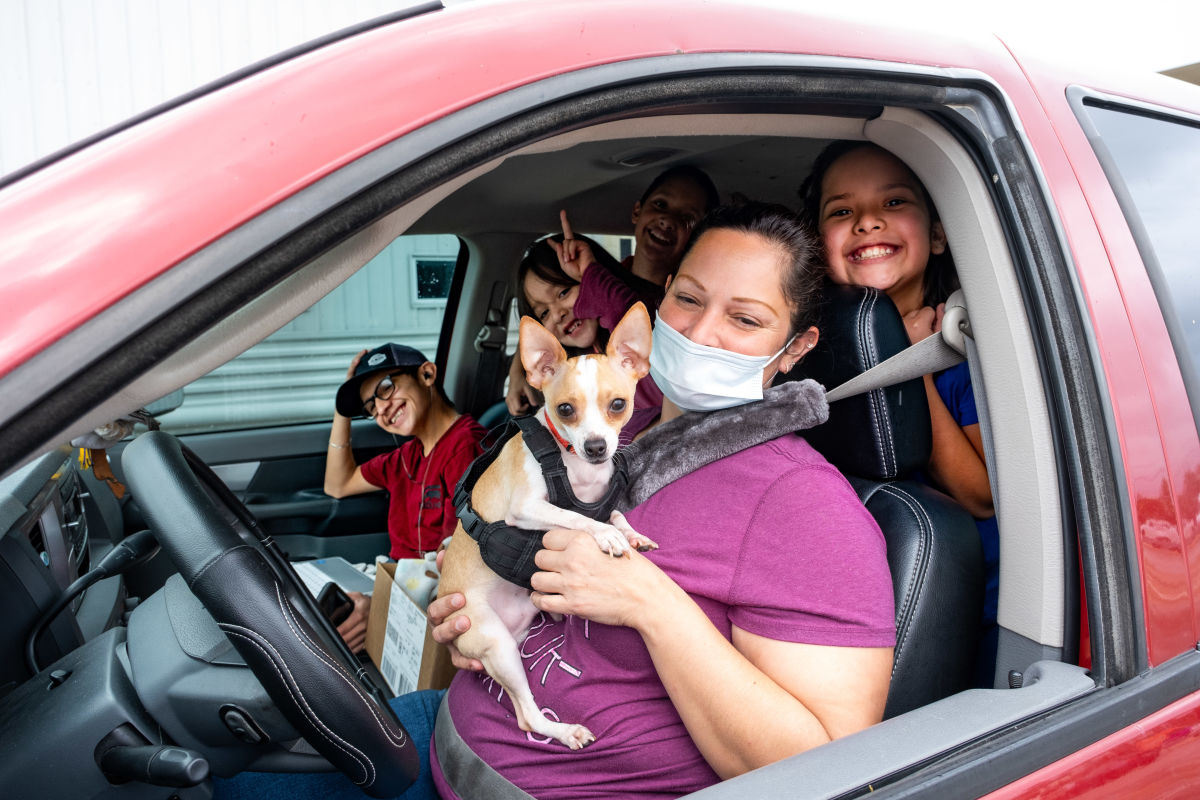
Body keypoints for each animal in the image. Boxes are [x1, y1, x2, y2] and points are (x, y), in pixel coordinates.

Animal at [439, 302, 652, 753]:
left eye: (618, 404)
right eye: (565, 409)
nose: (596, 447)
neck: (577, 469)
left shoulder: (600, 498)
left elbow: (612, 513)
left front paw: (630, 532)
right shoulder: (527, 508)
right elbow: (576, 518)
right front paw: (607, 536)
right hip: (497, 644)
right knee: (527, 716)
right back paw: (564, 730)